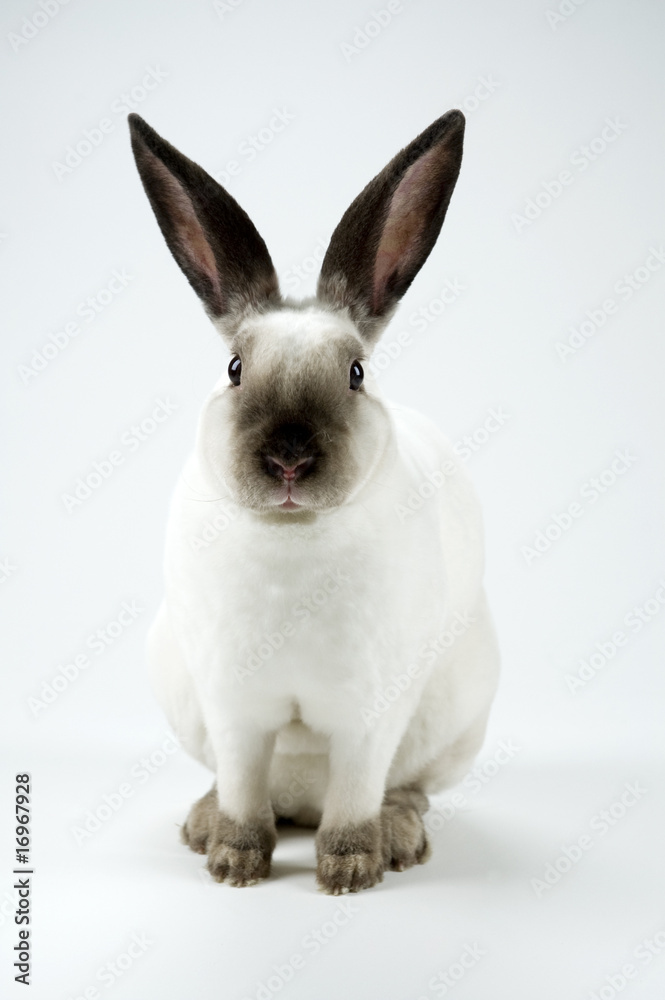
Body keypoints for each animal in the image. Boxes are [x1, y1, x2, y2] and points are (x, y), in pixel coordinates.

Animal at [128, 108, 500, 894]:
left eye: (355, 372)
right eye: (235, 368)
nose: (289, 459)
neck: (291, 536)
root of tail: (298, 800)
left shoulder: (368, 712)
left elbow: (357, 791)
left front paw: (350, 873)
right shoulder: (235, 708)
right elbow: (242, 786)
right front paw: (234, 865)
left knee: (403, 788)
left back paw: (399, 837)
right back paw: (202, 823)